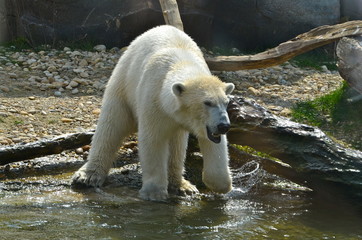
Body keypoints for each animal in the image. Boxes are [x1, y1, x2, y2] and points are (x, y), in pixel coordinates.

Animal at [73, 24, 235, 201]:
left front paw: (222, 185)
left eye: (226, 102)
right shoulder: (154, 99)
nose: (223, 126)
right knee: (111, 125)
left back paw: (182, 186)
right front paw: (154, 193)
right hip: (123, 84)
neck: (182, 61)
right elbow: (153, 139)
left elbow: (213, 144)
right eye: (207, 102)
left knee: (177, 144)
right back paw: (87, 176)